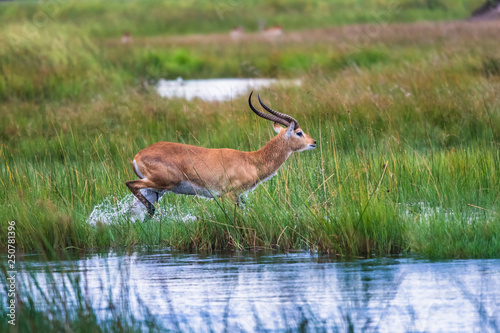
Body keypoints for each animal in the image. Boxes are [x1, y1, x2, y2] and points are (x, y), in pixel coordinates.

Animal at [127, 92, 316, 219]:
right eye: (299, 132)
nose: (313, 142)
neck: (251, 161)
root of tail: (137, 156)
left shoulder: (237, 196)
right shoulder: (229, 194)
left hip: (156, 190)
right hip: (163, 183)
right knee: (130, 184)